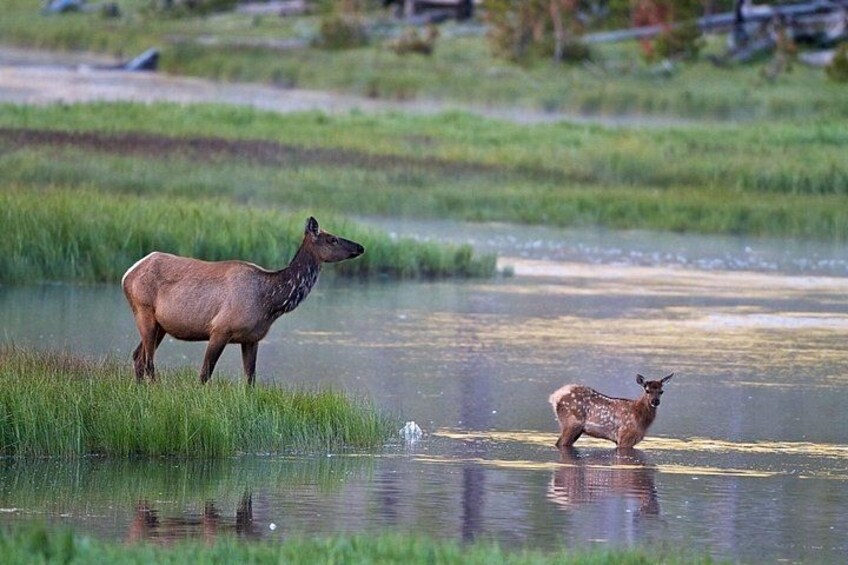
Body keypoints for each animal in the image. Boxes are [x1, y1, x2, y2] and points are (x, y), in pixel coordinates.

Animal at [122, 217, 364, 385]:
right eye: (333, 239)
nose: (360, 247)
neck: (271, 303)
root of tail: (127, 273)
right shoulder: (220, 329)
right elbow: (204, 374)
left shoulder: (252, 338)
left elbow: (250, 380)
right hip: (144, 312)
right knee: (148, 362)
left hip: (161, 325)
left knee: (137, 357)